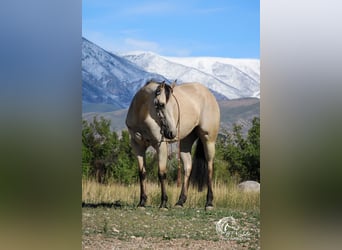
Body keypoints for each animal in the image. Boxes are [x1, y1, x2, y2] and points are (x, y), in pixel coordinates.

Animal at [125, 81, 219, 210]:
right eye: (161, 104)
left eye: (173, 105)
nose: (171, 133)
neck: (141, 115)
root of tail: (208, 94)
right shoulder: (137, 146)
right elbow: (142, 173)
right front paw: (142, 202)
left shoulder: (161, 146)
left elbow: (161, 173)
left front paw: (163, 203)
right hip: (185, 143)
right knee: (188, 167)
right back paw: (180, 202)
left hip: (208, 140)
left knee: (209, 167)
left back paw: (209, 202)